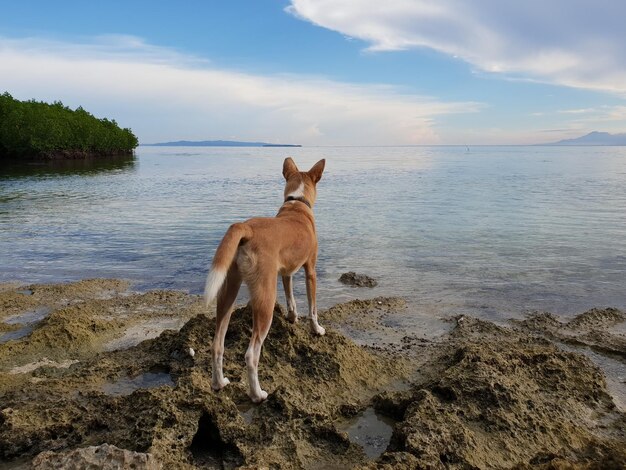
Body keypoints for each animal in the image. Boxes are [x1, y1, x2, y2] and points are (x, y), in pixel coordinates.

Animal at [204, 158, 324, 404]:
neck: (297, 203)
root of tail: (246, 227)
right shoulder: (311, 271)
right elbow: (313, 308)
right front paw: (316, 329)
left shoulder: (286, 273)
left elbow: (291, 299)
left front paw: (292, 317)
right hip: (265, 300)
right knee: (251, 355)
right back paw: (257, 394)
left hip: (228, 292)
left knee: (217, 345)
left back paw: (219, 383)